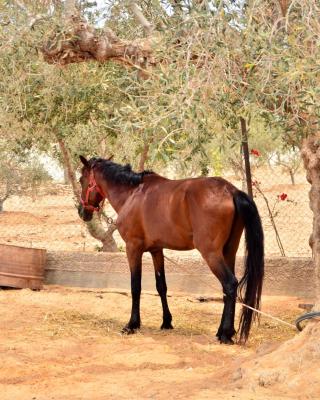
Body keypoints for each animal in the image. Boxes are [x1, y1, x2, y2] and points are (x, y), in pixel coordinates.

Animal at [79, 155, 264, 344]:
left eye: (81, 180)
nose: (82, 212)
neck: (132, 194)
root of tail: (230, 190)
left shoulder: (133, 248)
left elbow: (135, 287)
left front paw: (132, 324)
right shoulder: (157, 250)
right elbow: (161, 286)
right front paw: (166, 322)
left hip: (211, 254)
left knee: (230, 284)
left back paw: (225, 334)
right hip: (229, 252)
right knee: (228, 289)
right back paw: (225, 331)